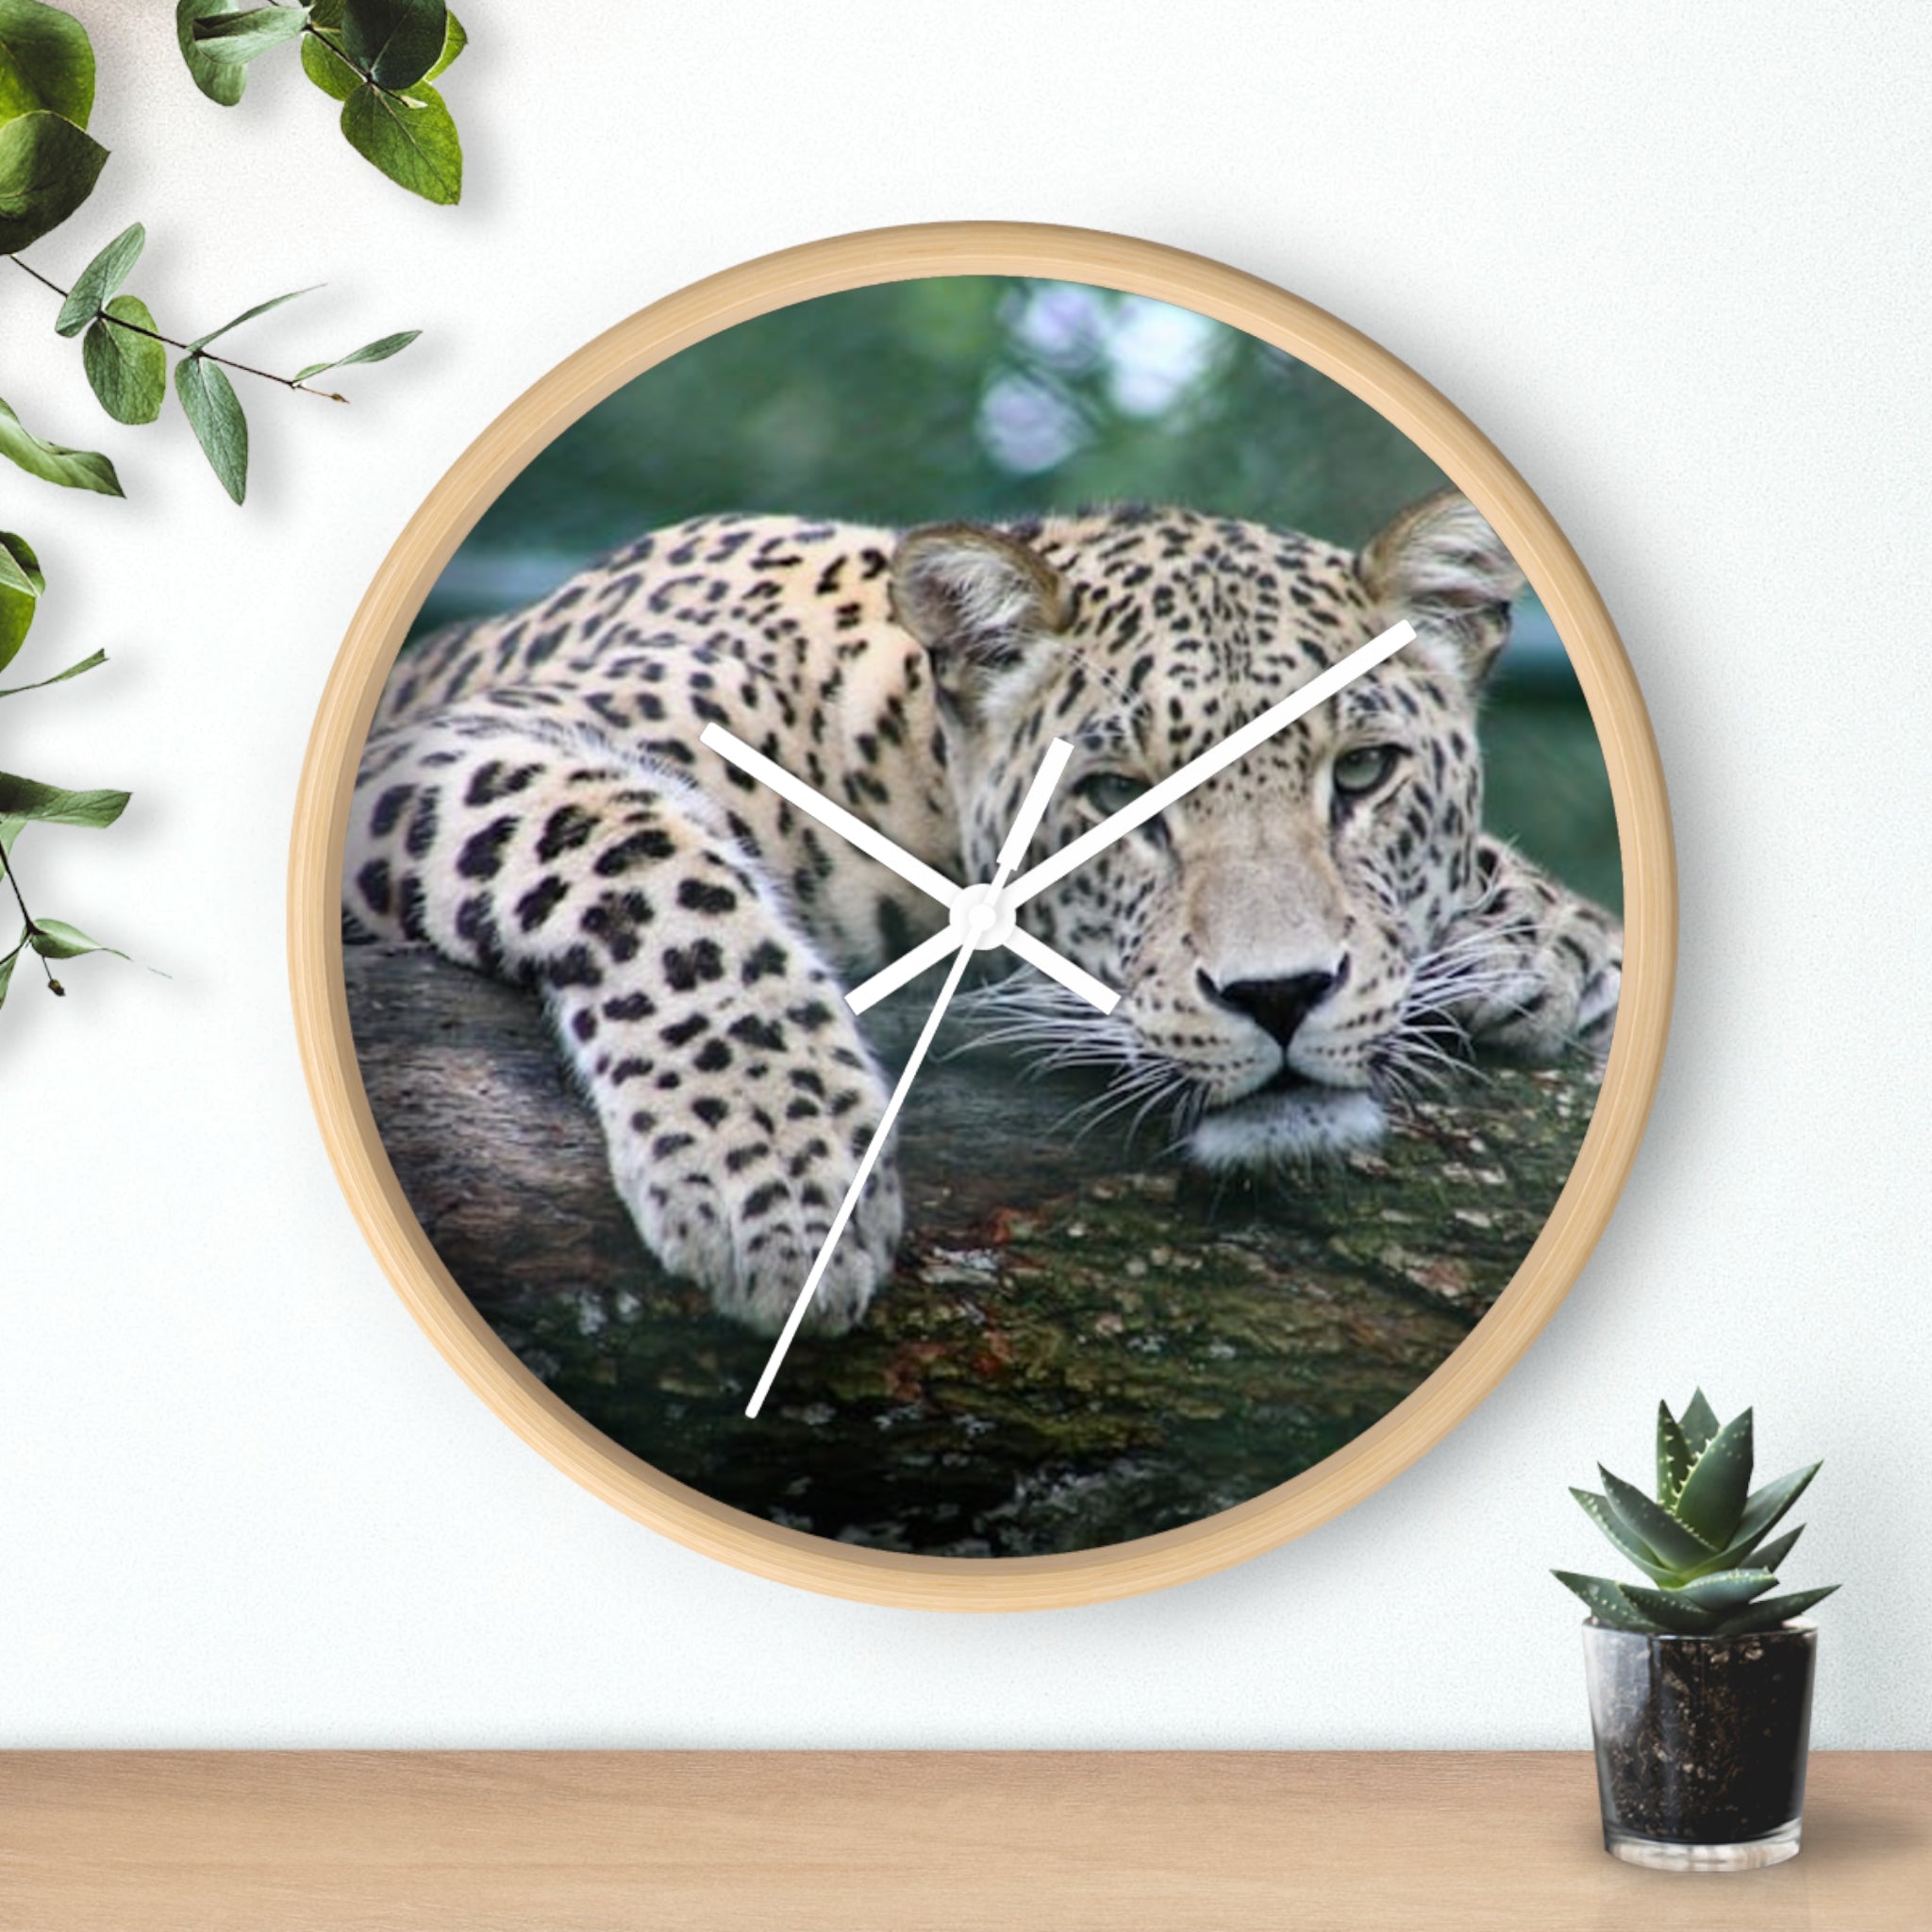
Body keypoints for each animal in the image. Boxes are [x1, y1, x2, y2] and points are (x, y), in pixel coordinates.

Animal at [344, 490, 1622, 1338]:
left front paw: (1545, 937)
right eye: (1112, 797)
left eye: (1360, 772)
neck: (903, 764)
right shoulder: (447, 751)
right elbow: (652, 860)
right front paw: (778, 1175)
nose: (1279, 995)